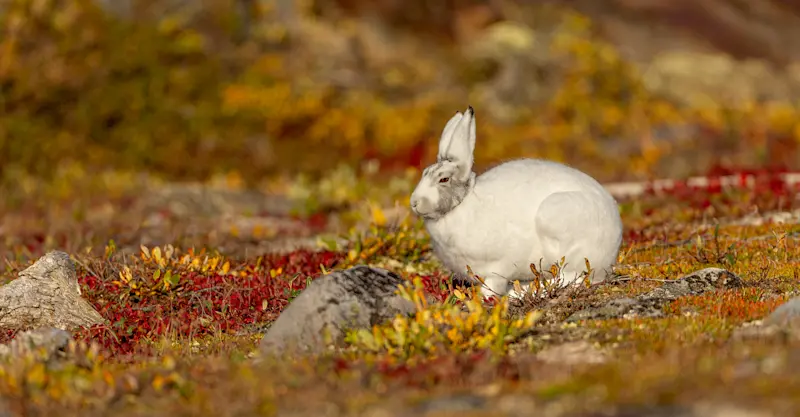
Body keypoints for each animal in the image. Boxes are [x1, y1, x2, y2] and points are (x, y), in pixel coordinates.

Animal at [409, 106, 623, 299]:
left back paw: (521, 293)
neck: (462, 204)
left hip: (560, 230)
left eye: (443, 179)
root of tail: (612, 249)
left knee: (569, 277)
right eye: (424, 172)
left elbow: (493, 284)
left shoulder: (499, 265)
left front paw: (484, 296)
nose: (414, 203)